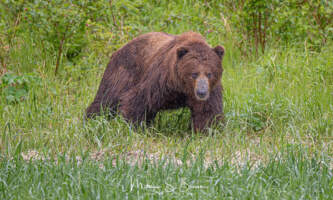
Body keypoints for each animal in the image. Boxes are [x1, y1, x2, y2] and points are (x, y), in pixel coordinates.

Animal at [85, 31, 224, 131]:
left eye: (209, 74)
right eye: (194, 74)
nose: (202, 92)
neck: (180, 87)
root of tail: (119, 49)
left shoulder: (210, 90)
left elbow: (207, 111)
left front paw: (204, 130)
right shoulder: (159, 81)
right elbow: (138, 100)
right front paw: (134, 126)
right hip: (122, 73)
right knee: (106, 99)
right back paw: (91, 120)